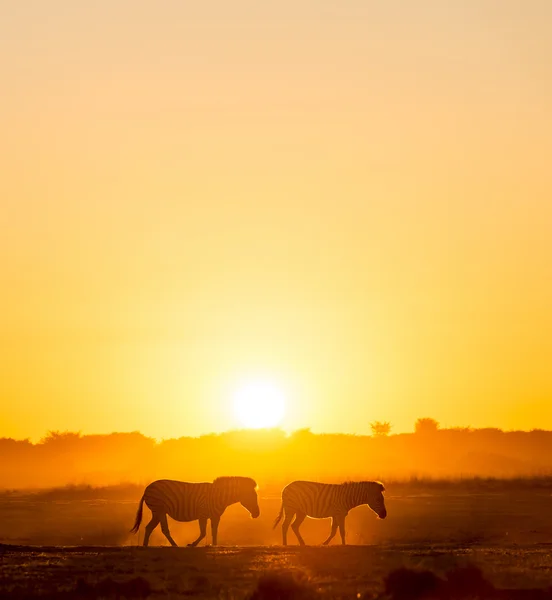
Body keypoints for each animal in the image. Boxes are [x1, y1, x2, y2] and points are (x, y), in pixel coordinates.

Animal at [130, 476, 260, 548]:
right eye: (253, 497)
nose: (257, 514)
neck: (219, 496)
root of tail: (146, 489)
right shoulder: (203, 514)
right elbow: (203, 533)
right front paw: (192, 544)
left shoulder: (215, 516)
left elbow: (214, 532)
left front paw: (215, 545)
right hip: (159, 510)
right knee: (163, 529)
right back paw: (174, 545)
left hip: (157, 512)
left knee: (149, 527)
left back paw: (146, 545)